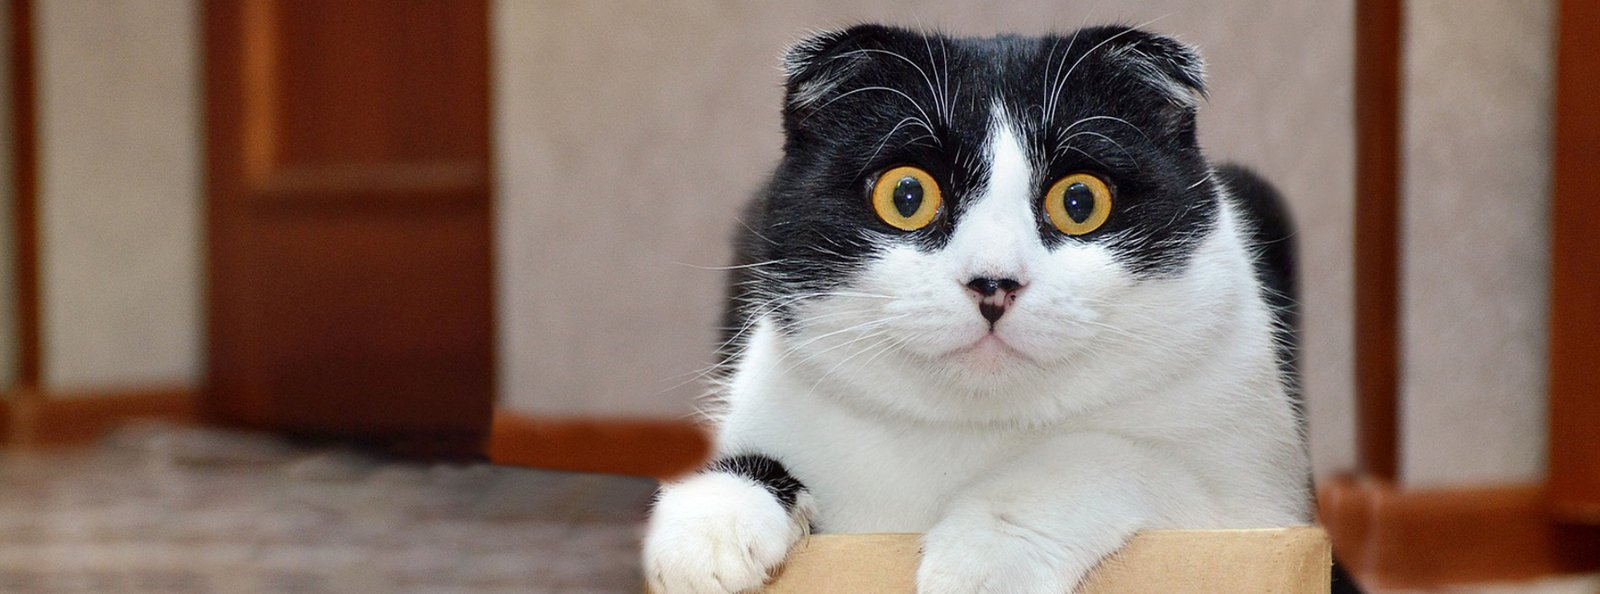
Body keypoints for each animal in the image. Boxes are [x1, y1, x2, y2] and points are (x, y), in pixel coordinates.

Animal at [643, 24, 1305, 594]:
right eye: (907, 195)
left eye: (1080, 200)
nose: (993, 282)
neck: (968, 429)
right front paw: (709, 524)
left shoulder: (1257, 510)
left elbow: (1113, 455)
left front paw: (988, 556)